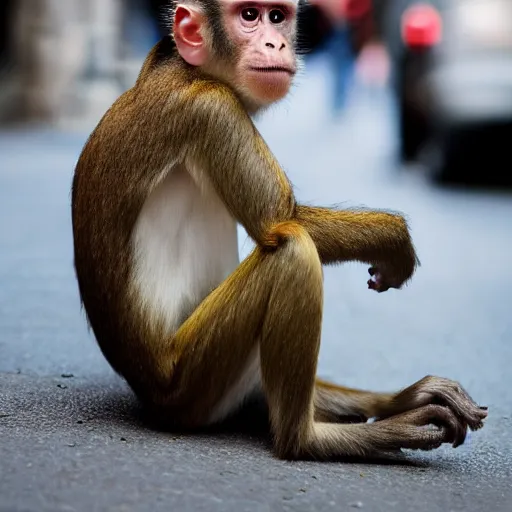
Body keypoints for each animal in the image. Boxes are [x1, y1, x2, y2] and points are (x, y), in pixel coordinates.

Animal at [70, 0, 486, 460]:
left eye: (277, 16)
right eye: (249, 16)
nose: (277, 43)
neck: (186, 68)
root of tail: (150, 395)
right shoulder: (212, 110)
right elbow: (279, 221)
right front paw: (393, 238)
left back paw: (394, 402)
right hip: (190, 383)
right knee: (293, 249)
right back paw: (307, 438)